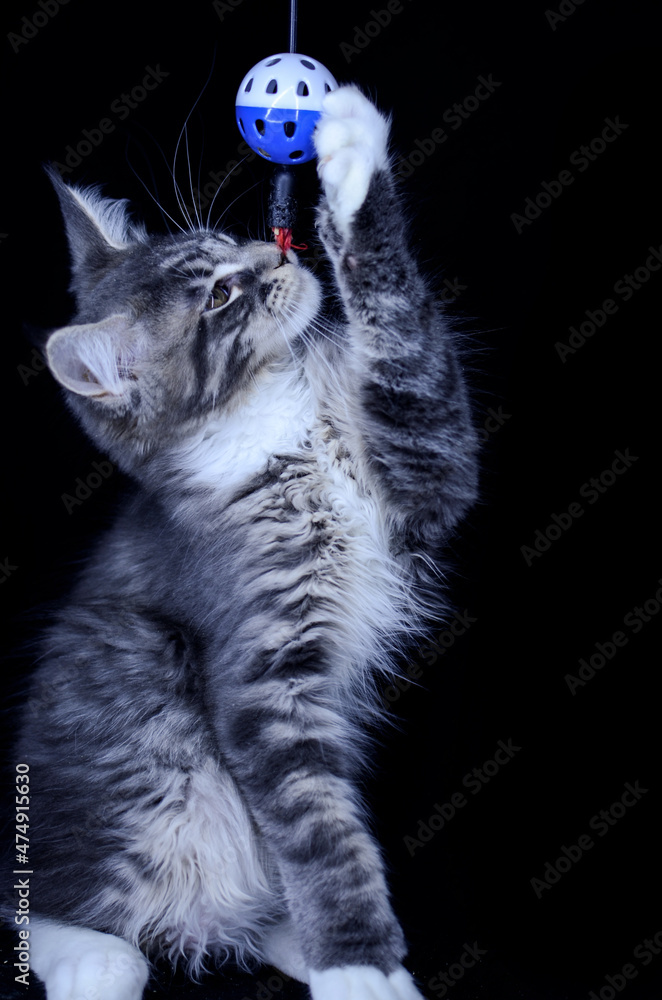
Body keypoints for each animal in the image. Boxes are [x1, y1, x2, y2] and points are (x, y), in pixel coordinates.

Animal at [18, 88, 480, 1000]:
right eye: (222, 293)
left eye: (227, 248)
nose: (275, 255)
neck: (281, 417)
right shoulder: (263, 678)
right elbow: (319, 834)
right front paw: (359, 968)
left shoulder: (427, 466)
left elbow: (402, 327)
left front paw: (349, 164)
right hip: (152, 745)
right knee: (48, 897)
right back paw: (95, 960)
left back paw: (294, 941)